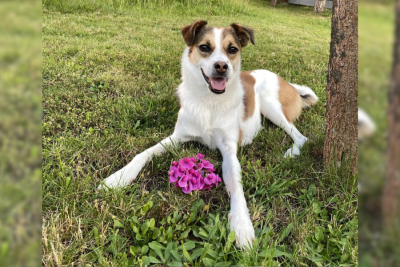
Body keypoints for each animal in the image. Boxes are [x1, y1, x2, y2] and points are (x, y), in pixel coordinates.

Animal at [100, 21, 318, 249]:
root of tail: (288, 83)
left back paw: (291, 152)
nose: (222, 66)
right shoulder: (176, 137)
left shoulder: (229, 150)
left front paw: (241, 224)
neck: (209, 101)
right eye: (205, 47)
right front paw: (118, 177)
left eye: (232, 49)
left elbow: (236, 185)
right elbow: (143, 154)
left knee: (300, 136)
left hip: (270, 104)